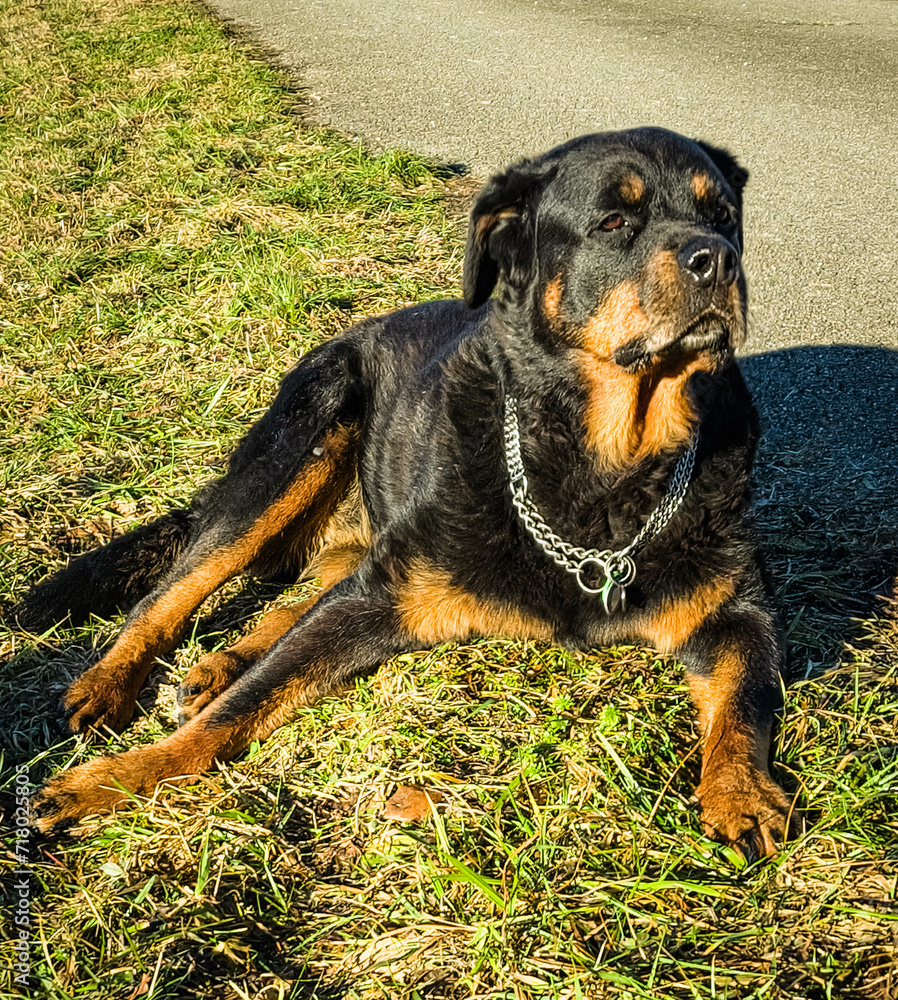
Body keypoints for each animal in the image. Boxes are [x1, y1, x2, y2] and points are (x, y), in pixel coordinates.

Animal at [17, 127, 788, 860]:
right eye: (615, 221)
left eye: (723, 216)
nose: (717, 258)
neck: (606, 465)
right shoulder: (384, 590)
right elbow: (236, 712)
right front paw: (115, 779)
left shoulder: (736, 611)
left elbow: (744, 704)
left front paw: (741, 793)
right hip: (304, 435)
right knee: (174, 589)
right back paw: (109, 682)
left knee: (301, 597)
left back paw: (221, 662)